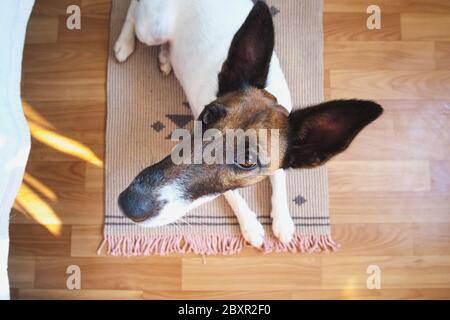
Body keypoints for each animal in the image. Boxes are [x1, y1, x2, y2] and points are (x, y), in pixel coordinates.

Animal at [114, 0, 382, 248]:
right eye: (208, 116)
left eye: (247, 161)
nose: (128, 203)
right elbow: (232, 194)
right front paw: (250, 224)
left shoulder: (279, 160)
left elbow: (279, 176)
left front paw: (283, 219)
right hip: (151, 28)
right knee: (133, 10)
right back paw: (124, 44)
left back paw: (165, 58)